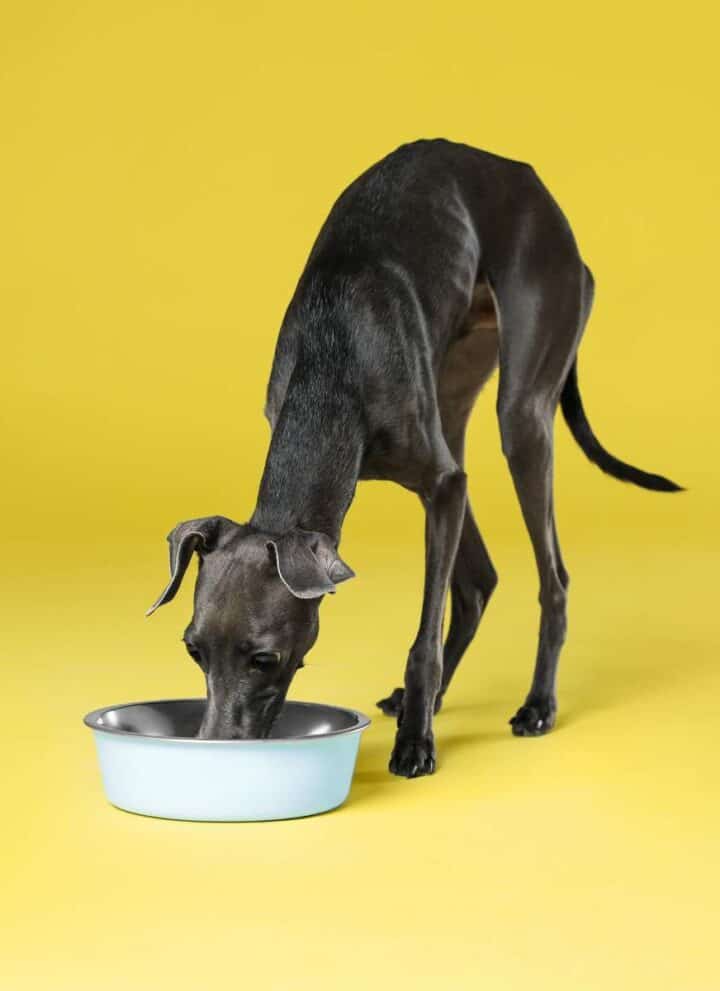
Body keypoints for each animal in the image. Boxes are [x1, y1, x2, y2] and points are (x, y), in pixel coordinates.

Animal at [146, 138, 680, 776]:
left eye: (264, 659)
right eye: (194, 650)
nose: (214, 752)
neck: (334, 355)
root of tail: (533, 187)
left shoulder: (440, 483)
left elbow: (423, 637)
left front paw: (415, 744)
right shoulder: (443, 478)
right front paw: (418, 716)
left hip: (523, 409)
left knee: (552, 575)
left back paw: (536, 705)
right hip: (455, 396)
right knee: (478, 580)